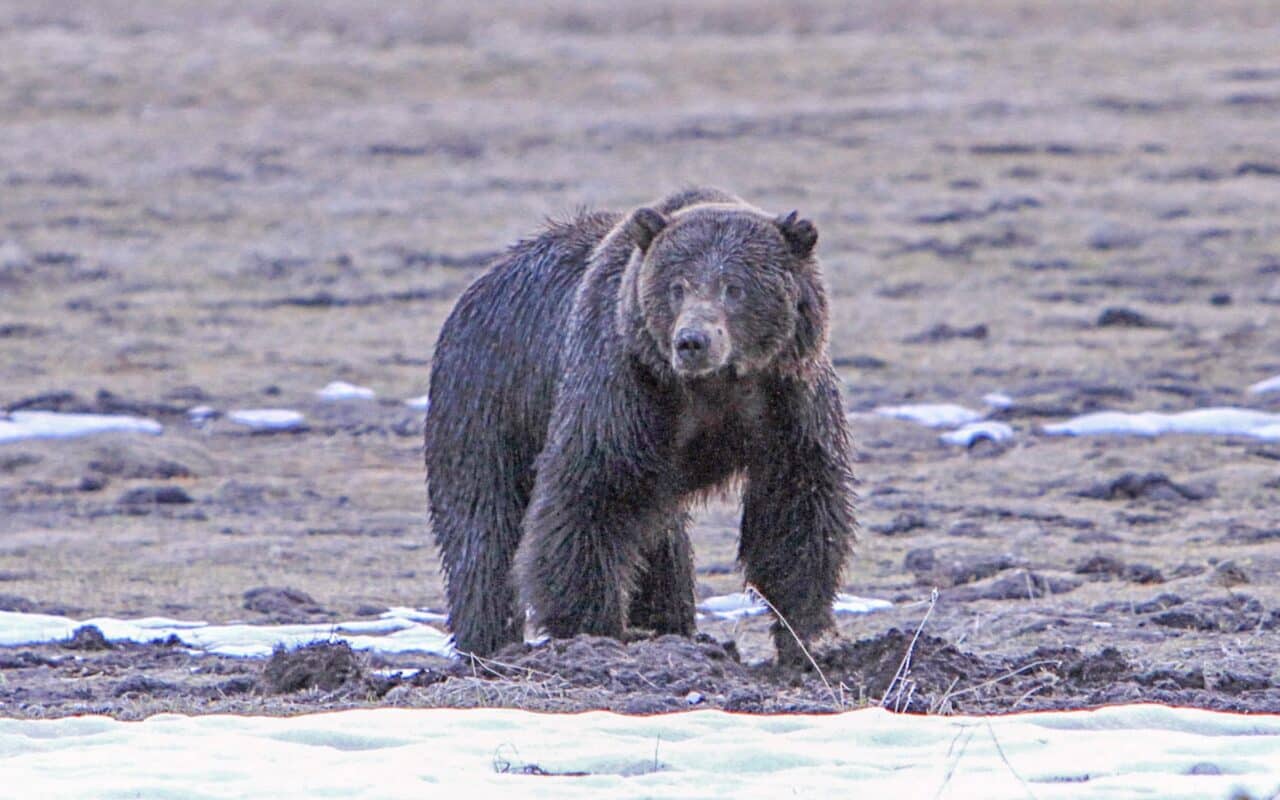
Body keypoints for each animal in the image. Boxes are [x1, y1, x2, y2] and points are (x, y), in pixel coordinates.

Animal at [424, 187, 856, 663]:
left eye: (735, 287)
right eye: (678, 286)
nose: (692, 341)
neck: (713, 386)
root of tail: (479, 284)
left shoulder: (788, 399)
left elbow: (797, 502)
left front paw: (807, 634)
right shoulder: (624, 389)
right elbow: (590, 494)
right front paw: (590, 628)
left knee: (660, 541)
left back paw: (669, 624)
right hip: (488, 403)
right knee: (483, 526)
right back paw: (488, 643)